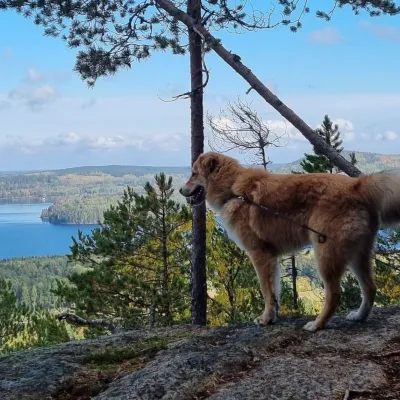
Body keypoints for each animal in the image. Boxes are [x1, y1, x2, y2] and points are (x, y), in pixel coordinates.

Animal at [180, 152, 400, 330]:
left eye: (193, 174)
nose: (181, 191)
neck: (233, 189)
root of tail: (357, 185)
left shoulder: (260, 255)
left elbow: (267, 291)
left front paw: (266, 318)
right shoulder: (270, 258)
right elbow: (274, 292)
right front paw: (272, 317)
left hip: (326, 254)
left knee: (335, 295)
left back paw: (317, 325)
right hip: (356, 255)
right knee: (370, 288)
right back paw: (359, 316)